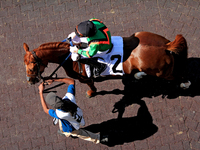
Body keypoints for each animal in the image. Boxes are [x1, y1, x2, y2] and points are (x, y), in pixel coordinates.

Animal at [23, 31, 191, 97]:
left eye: (32, 66)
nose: (30, 81)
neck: (69, 57)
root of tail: (166, 45)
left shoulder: (84, 77)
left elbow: (90, 84)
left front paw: (92, 92)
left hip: (161, 72)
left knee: (177, 75)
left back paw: (185, 83)